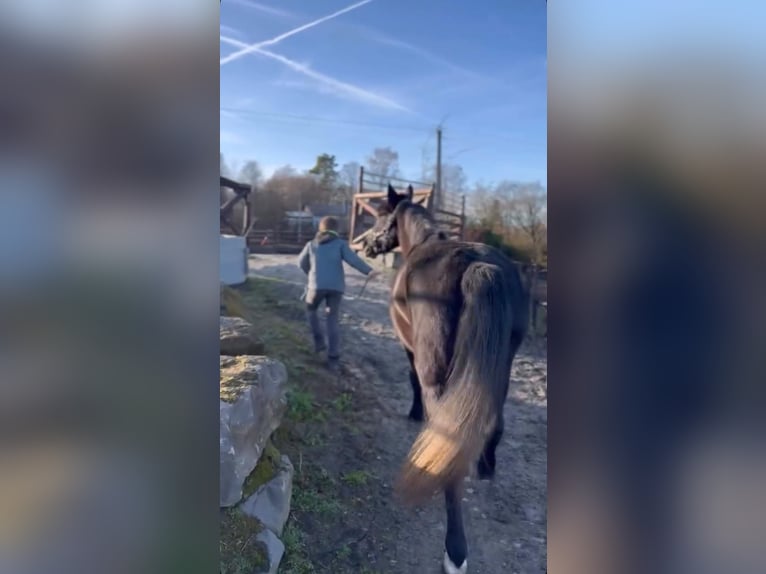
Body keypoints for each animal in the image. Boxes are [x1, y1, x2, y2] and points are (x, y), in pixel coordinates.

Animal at [363, 184, 529, 574]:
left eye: (381, 217)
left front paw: (414, 414)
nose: (368, 247)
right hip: (501, 366)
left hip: (438, 374)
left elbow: (411, 379)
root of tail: (479, 267)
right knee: (494, 423)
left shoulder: (410, 349)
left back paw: (455, 552)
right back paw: (486, 467)